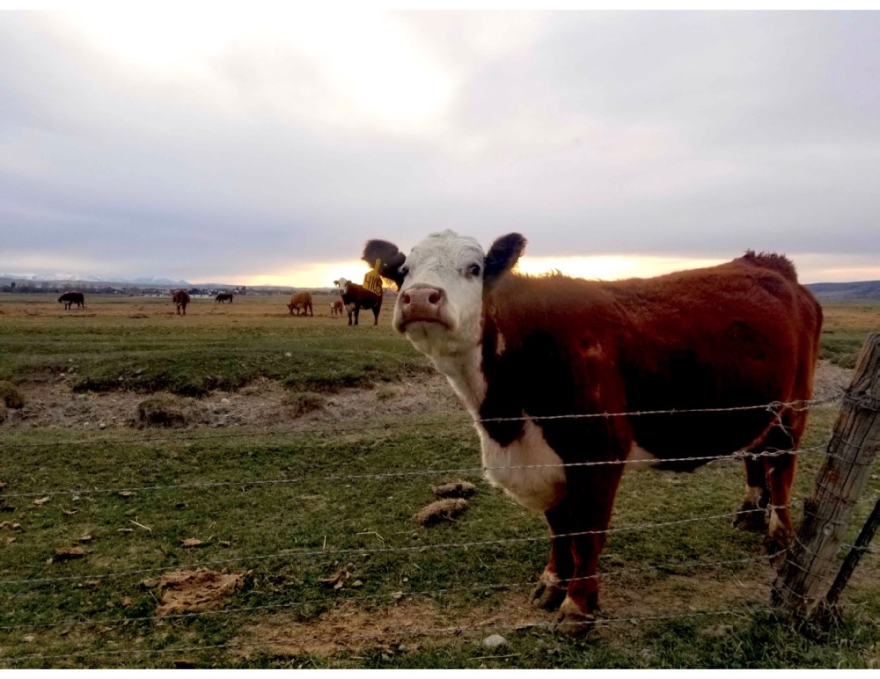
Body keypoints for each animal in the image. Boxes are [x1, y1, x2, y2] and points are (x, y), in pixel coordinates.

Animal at [360, 231, 820, 636]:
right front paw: (551, 583)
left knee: (782, 467)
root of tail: (771, 264)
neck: (503, 418)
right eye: (403, 271)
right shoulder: (544, 463)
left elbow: (585, 536)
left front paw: (578, 607)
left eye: (473, 268)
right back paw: (749, 514)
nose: (421, 297)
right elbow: (558, 528)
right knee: (755, 454)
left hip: (792, 408)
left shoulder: (599, 454)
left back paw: (779, 535)